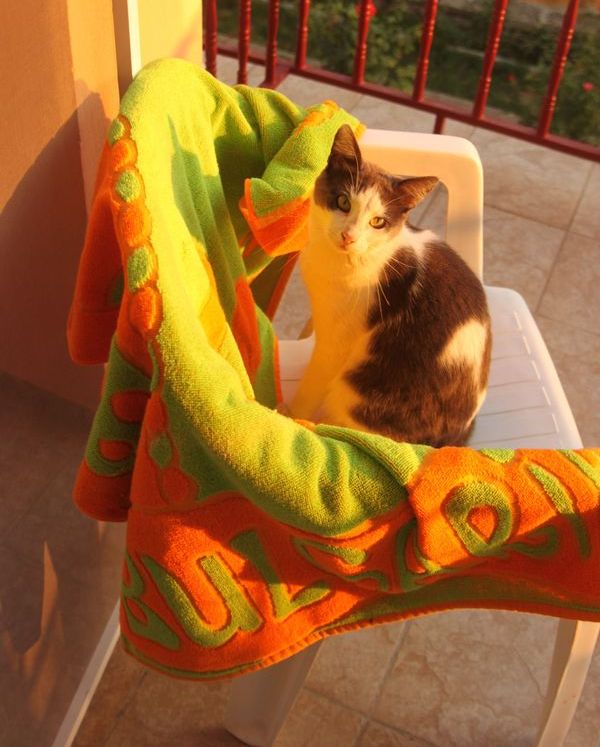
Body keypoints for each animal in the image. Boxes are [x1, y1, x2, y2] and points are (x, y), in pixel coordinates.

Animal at [289, 124, 491, 447]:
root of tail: (454, 438)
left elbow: (312, 384)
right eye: (343, 202)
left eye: (378, 222)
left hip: (360, 392)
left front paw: (287, 414)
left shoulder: (337, 341)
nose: (348, 236)